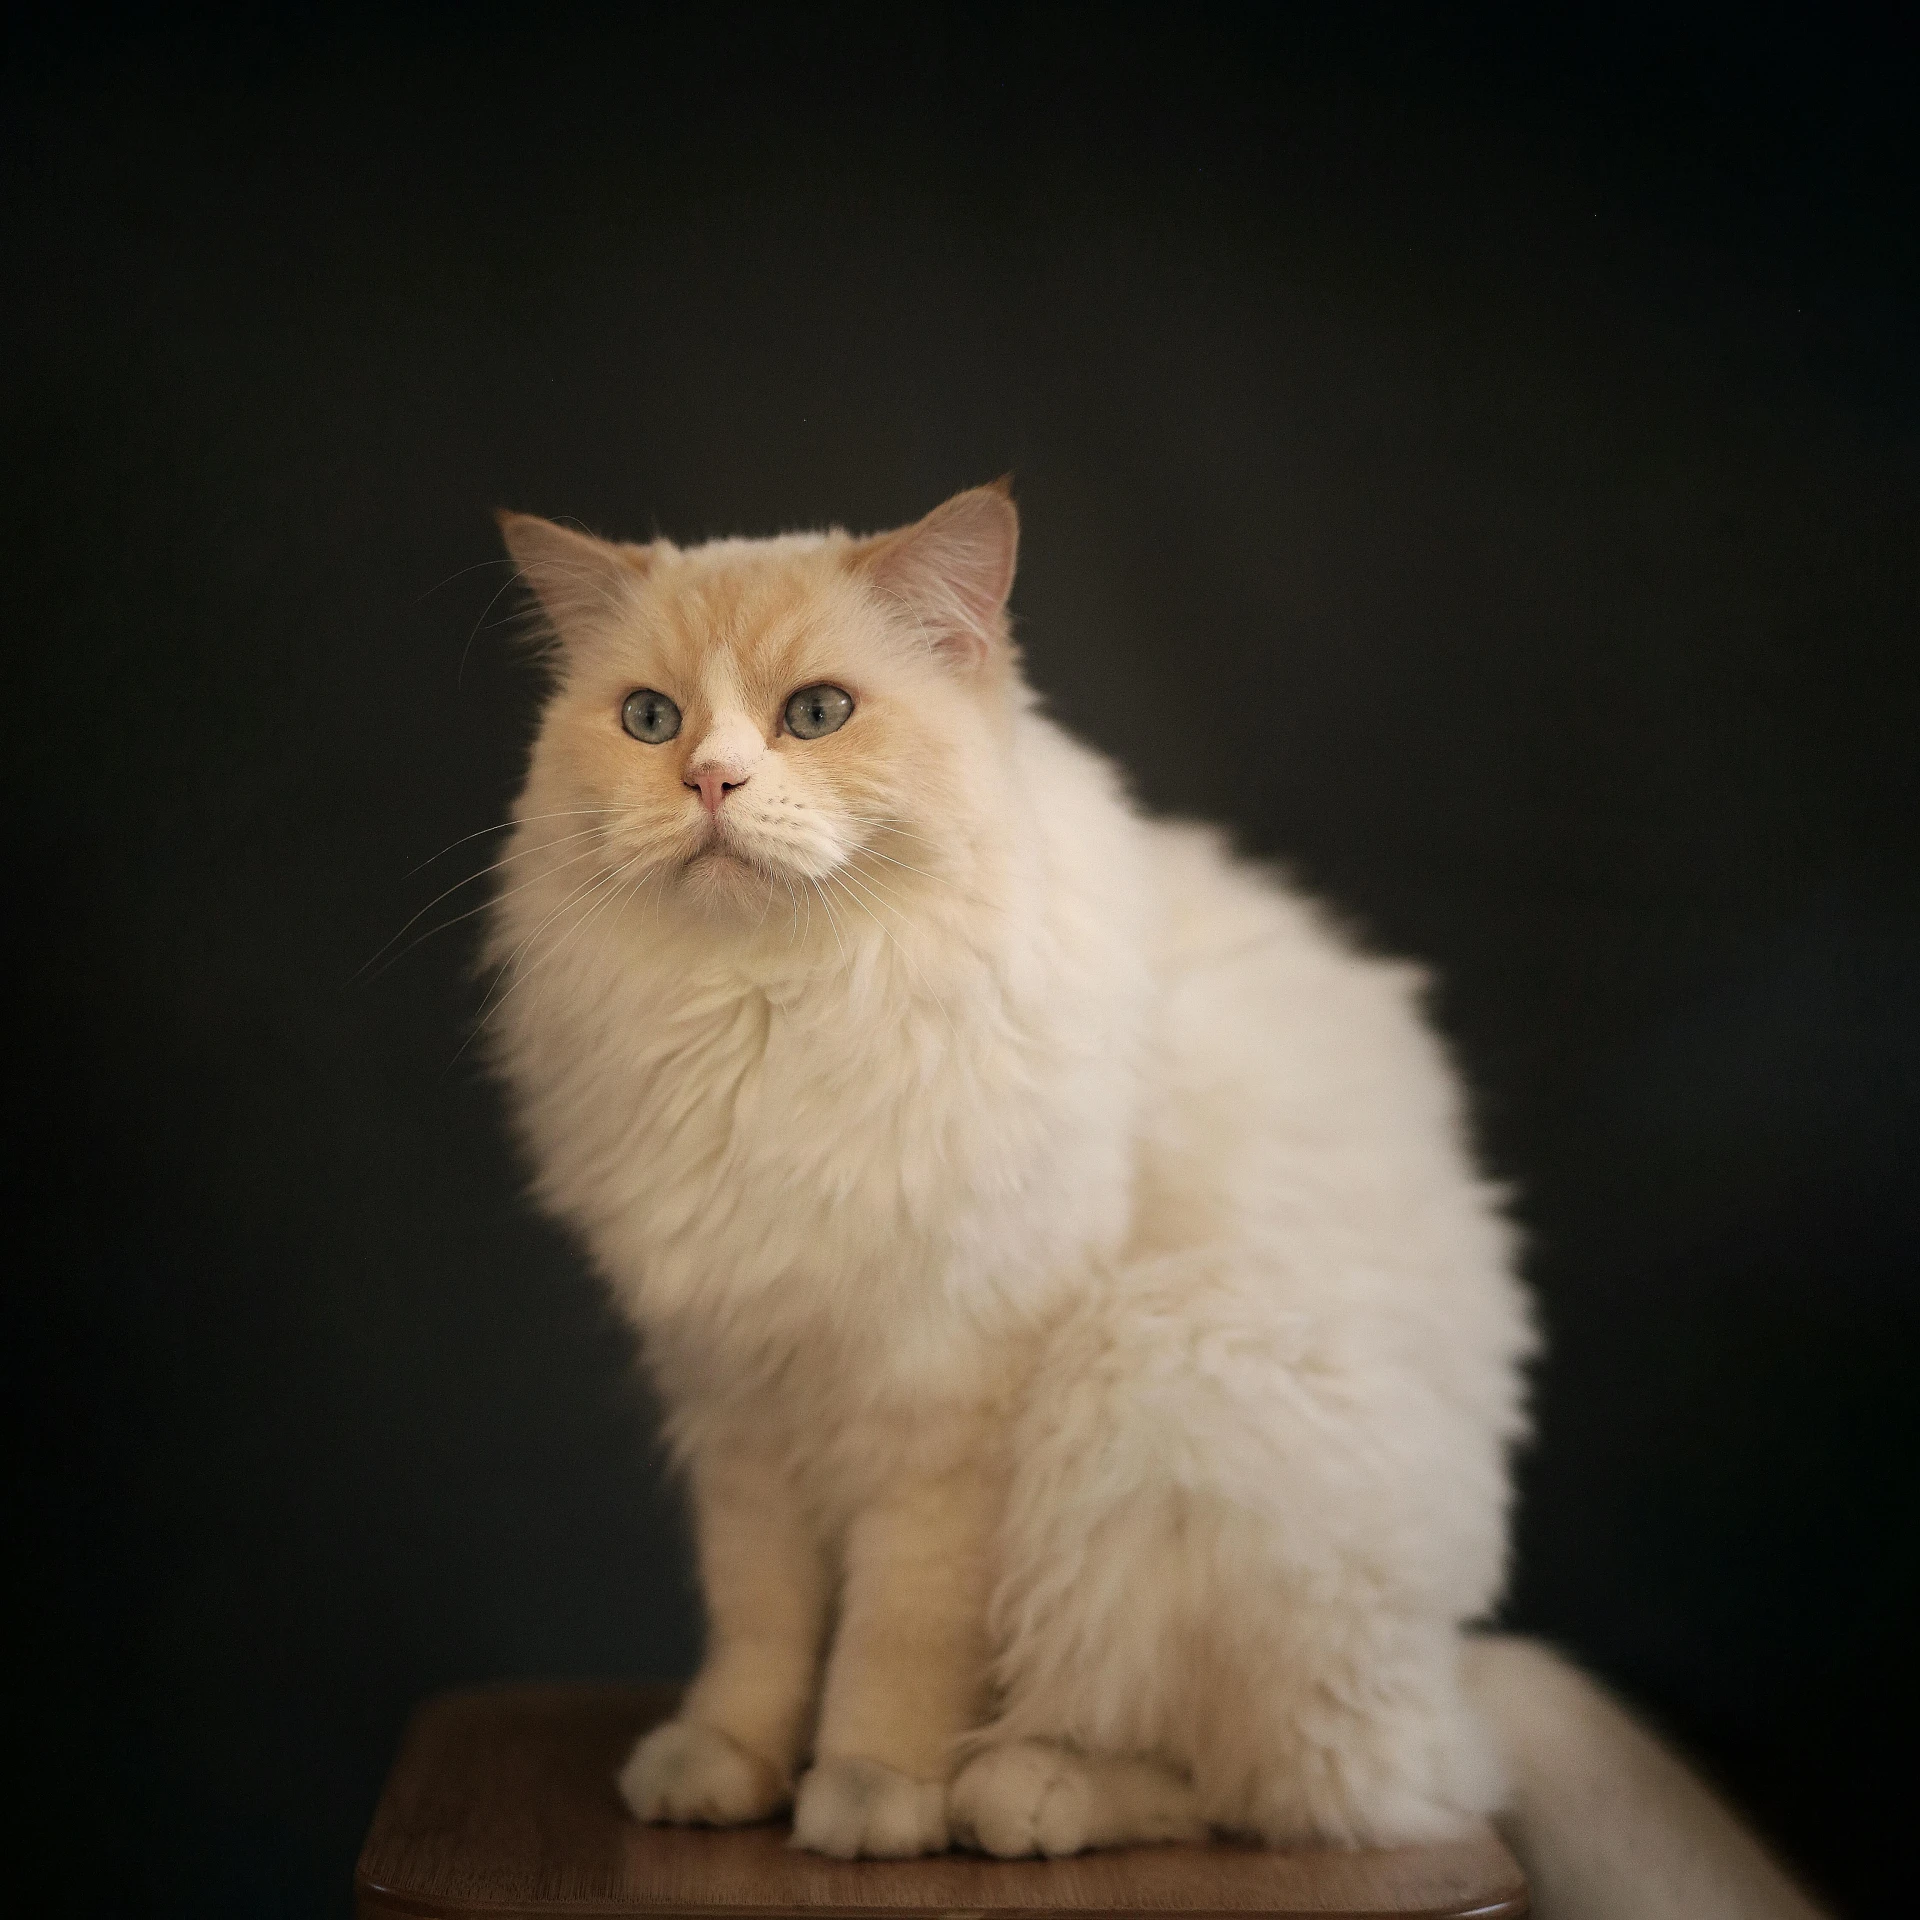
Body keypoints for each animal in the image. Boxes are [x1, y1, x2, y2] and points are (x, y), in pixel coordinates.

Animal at [480, 483, 1827, 1920]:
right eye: (649, 722)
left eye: (818, 714)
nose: (709, 782)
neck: (769, 1011)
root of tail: (1455, 1679)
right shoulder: (737, 1400)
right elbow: (760, 1626)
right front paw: (725, 1771)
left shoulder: (947, 1402)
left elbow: (896, 1641)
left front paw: (868, 1795)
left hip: (1166, 1378)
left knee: (1286, 1793)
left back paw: (1014, 1793)